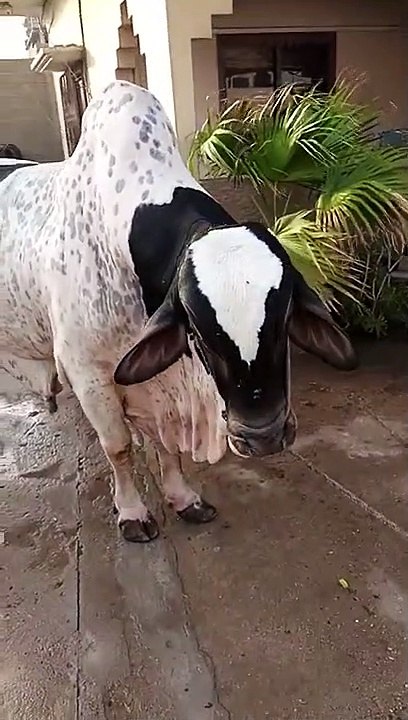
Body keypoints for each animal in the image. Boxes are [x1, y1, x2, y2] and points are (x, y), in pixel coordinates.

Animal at [0, 81, 357, 543]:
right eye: (200, 333)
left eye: (282, 320)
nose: (263, 435)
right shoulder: (86, 372)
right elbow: (119, 447)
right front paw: (132, 512)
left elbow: (166, 446)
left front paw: (183, 498)